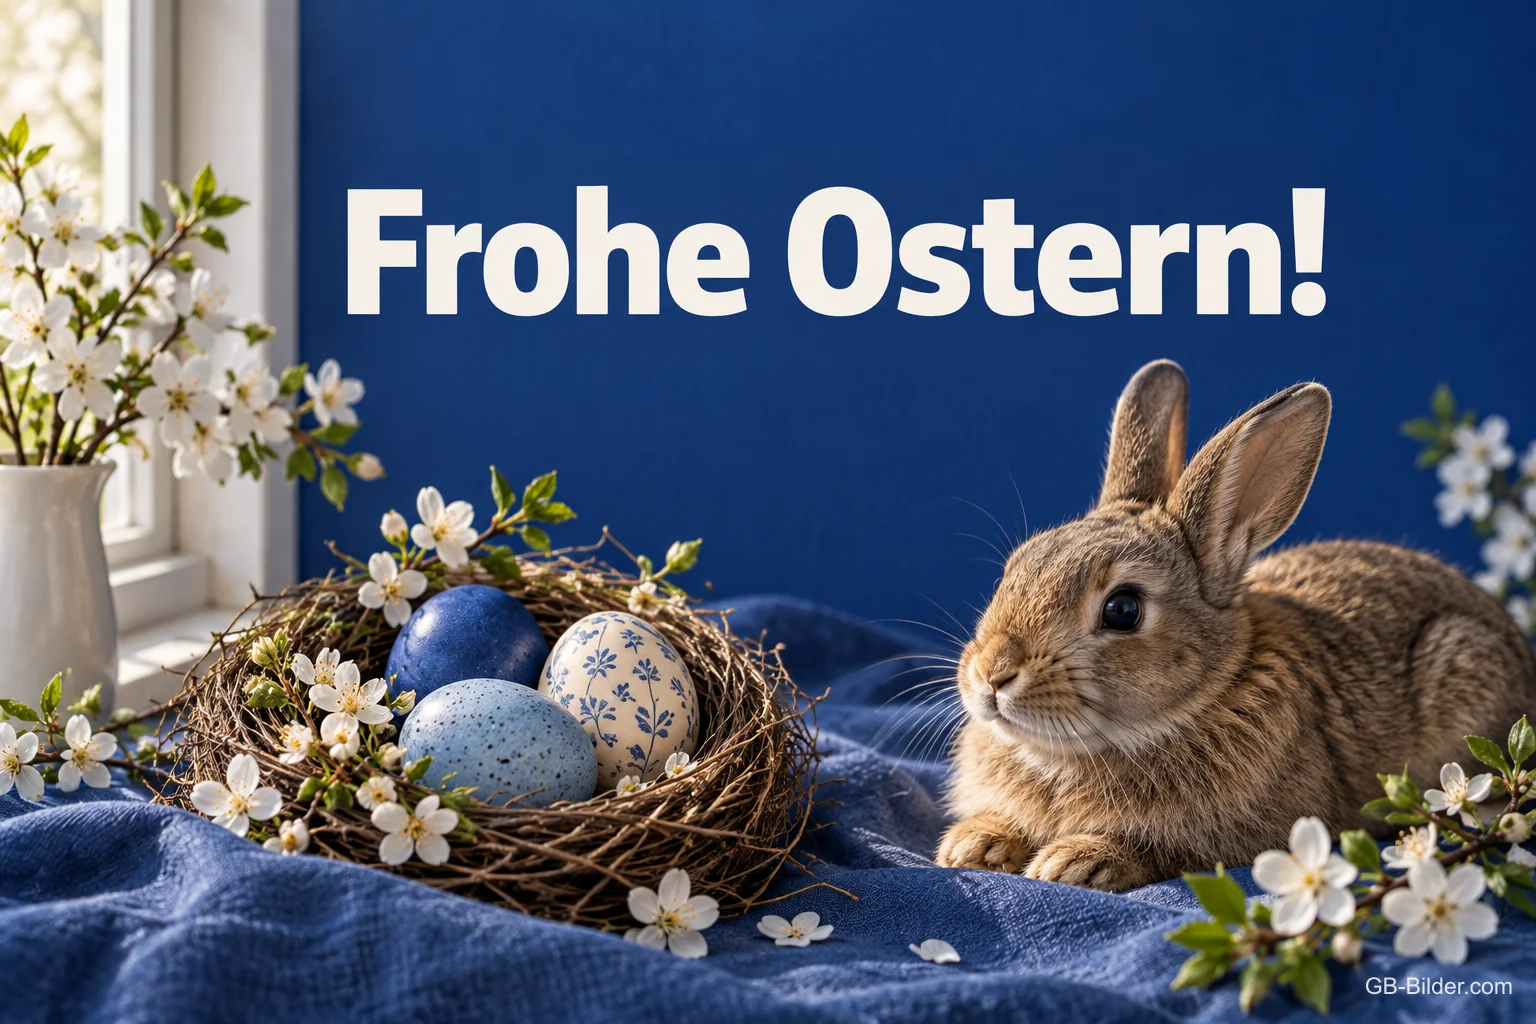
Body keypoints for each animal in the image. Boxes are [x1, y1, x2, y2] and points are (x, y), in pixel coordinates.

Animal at [935, 359, 1536, 890]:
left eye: (1123, 609)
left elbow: (1165, 849)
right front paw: (973, 845)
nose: (991, 676)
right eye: (1014, 570)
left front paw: (1074, 862)